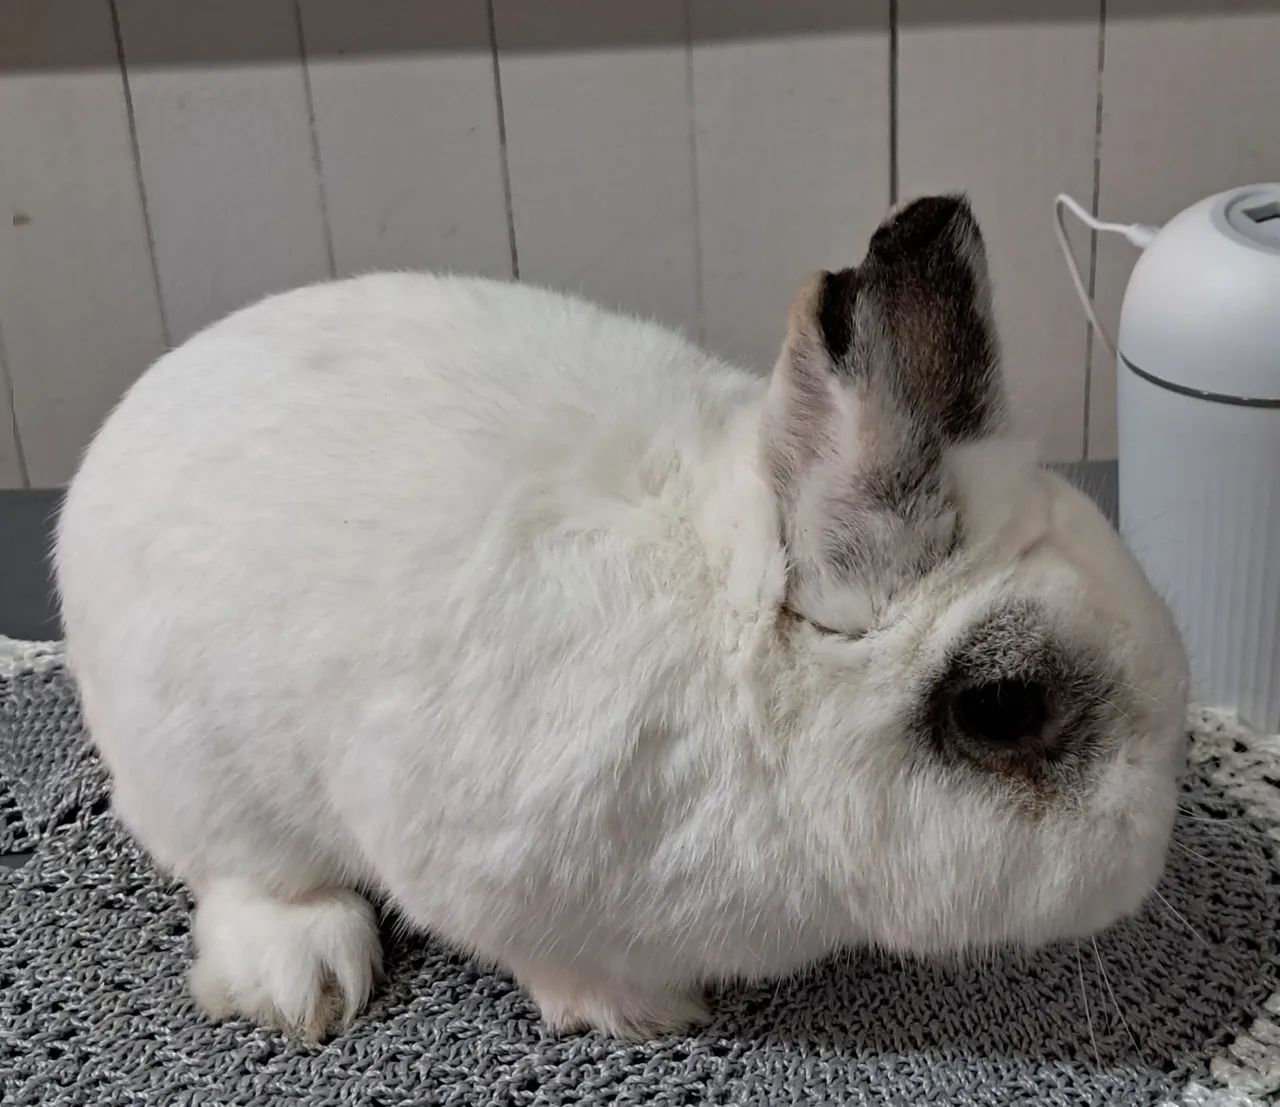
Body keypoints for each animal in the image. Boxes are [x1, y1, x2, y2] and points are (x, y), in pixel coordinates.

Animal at [55, 195, 1189, 1042]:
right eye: (1003, 709)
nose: (1150, 847)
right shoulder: (480, 860)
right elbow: (555, 960)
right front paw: (645, 1014)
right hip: (202, 773)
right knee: (242, 873)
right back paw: (304, 980)